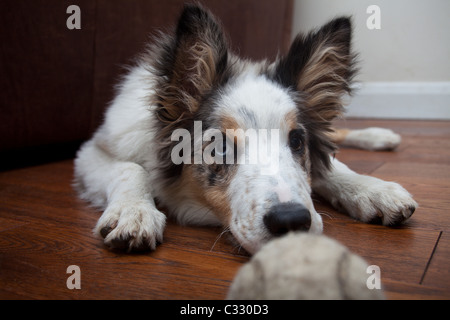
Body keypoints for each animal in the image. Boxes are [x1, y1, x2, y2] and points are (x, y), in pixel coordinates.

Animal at [73, 3, 414, 254]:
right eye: (220, 146)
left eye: (297, 141)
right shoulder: (92, 151)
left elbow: (330, 166)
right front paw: (134, 212)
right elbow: (130, 169)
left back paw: (381, 136)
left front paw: (373, 189)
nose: (291, 221)